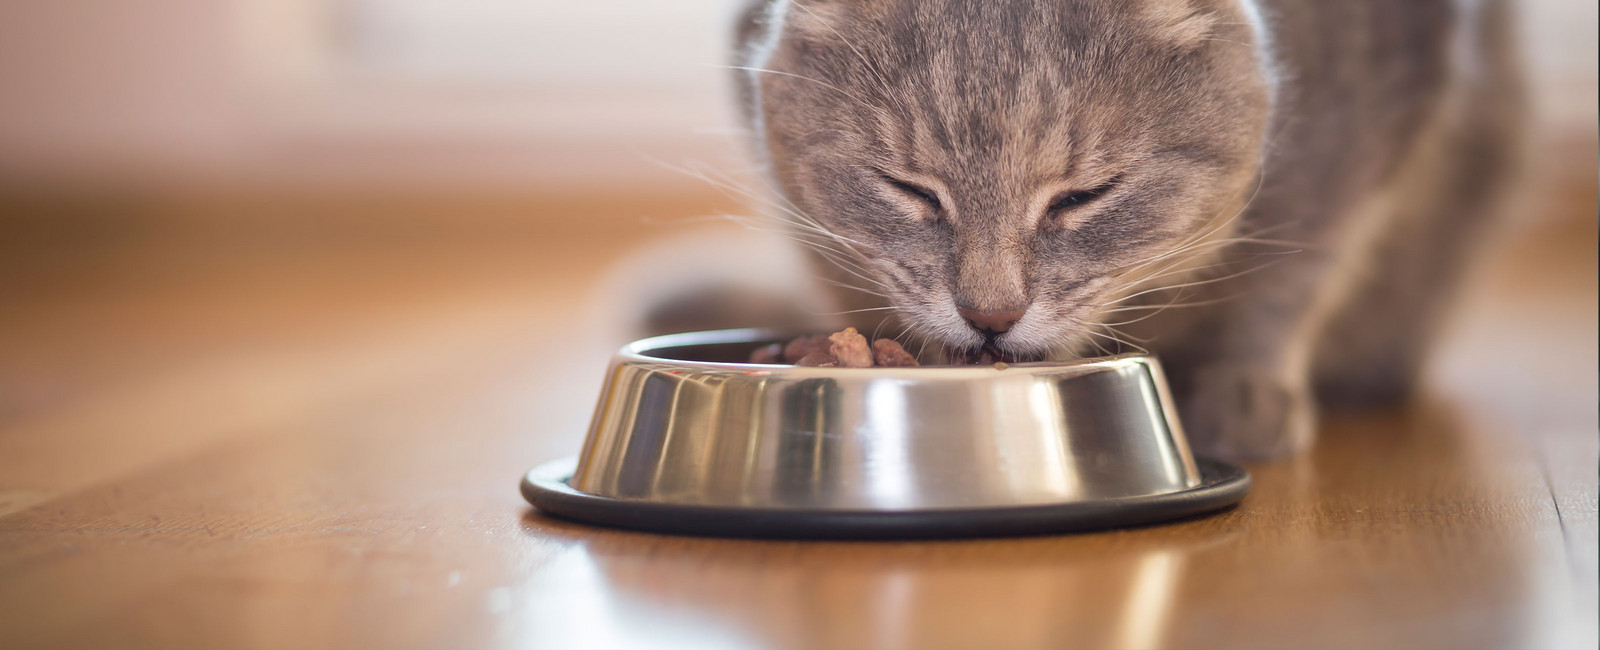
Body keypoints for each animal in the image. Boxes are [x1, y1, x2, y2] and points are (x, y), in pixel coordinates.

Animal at [710, 0, 1510, 461]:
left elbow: (1299, 271)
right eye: (912, 192)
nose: (990, 316)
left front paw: (1246, 389)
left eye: (1083, 197)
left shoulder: (1375, 116)